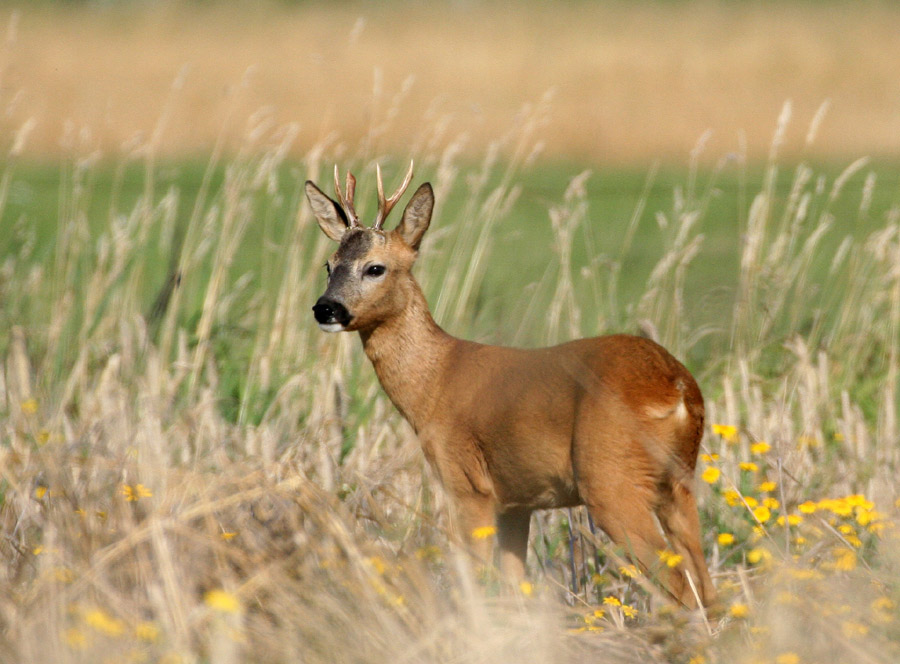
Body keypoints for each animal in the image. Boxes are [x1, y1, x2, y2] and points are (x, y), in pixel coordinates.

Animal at [310, 165, 716, 608]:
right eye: (330, 265)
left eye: (375, 268)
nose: (325, 308)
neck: (434, 381)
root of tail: (677, 386)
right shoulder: (516, 502)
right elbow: (514, 586)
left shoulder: (467, 484)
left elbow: (472, 580)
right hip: (677, 483)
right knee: (706, 583)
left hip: (611, 479)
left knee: (678, 583)